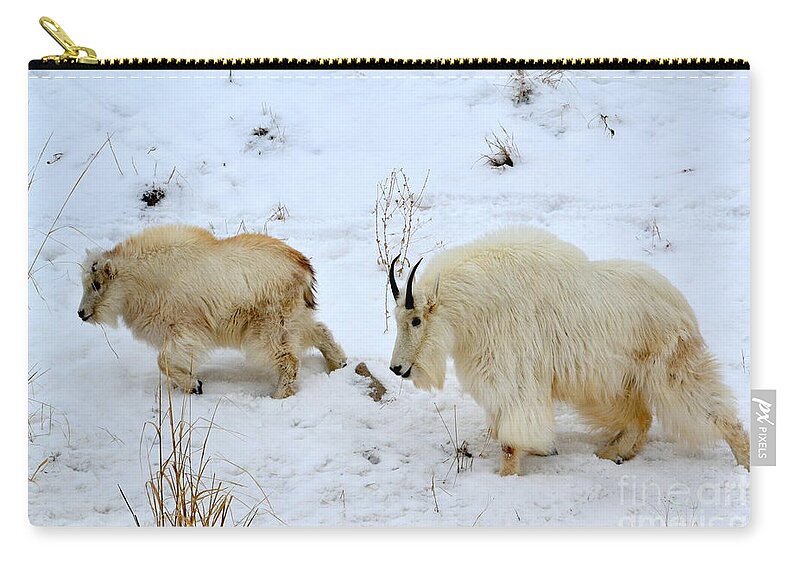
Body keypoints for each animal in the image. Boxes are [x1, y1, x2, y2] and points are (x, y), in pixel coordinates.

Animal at [77, 223, 346, 394]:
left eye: (97, 284)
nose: (81, 313)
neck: (141, 280)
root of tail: (302, 267)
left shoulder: (184, 329)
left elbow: (163, 360)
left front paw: (194, 385)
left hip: (269, 327)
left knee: (289, 360)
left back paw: (278, 395)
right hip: (293, 318)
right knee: (320, 331)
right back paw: (339, 363)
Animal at [388, 224, 752, 472]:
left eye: (416, 320)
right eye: (397, 317)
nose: (397, 368)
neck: (475, 307)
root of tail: (680, 304)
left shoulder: (514, 378)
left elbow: (510, 438)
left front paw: (508, 474)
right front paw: (541, 450)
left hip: (671, 370)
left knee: (712, 413)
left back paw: (744, 461)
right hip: (613, 384)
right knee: (641, 418)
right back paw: (611, 454)